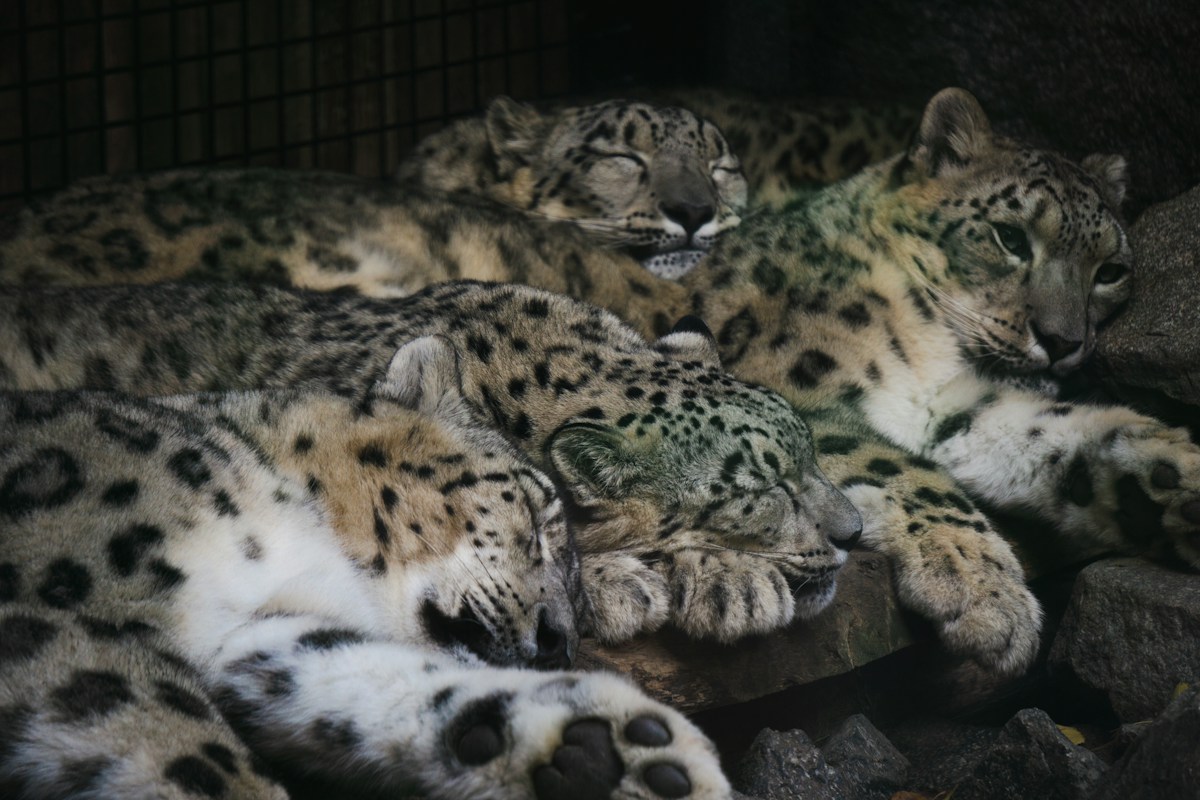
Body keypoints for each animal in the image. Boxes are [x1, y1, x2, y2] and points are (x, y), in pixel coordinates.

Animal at [0, 340, 730, 798]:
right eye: (534, 512)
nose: (558, 641)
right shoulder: (65, 620)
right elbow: (187, 748)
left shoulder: (257, 633)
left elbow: (367, 675)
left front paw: (609, 748)